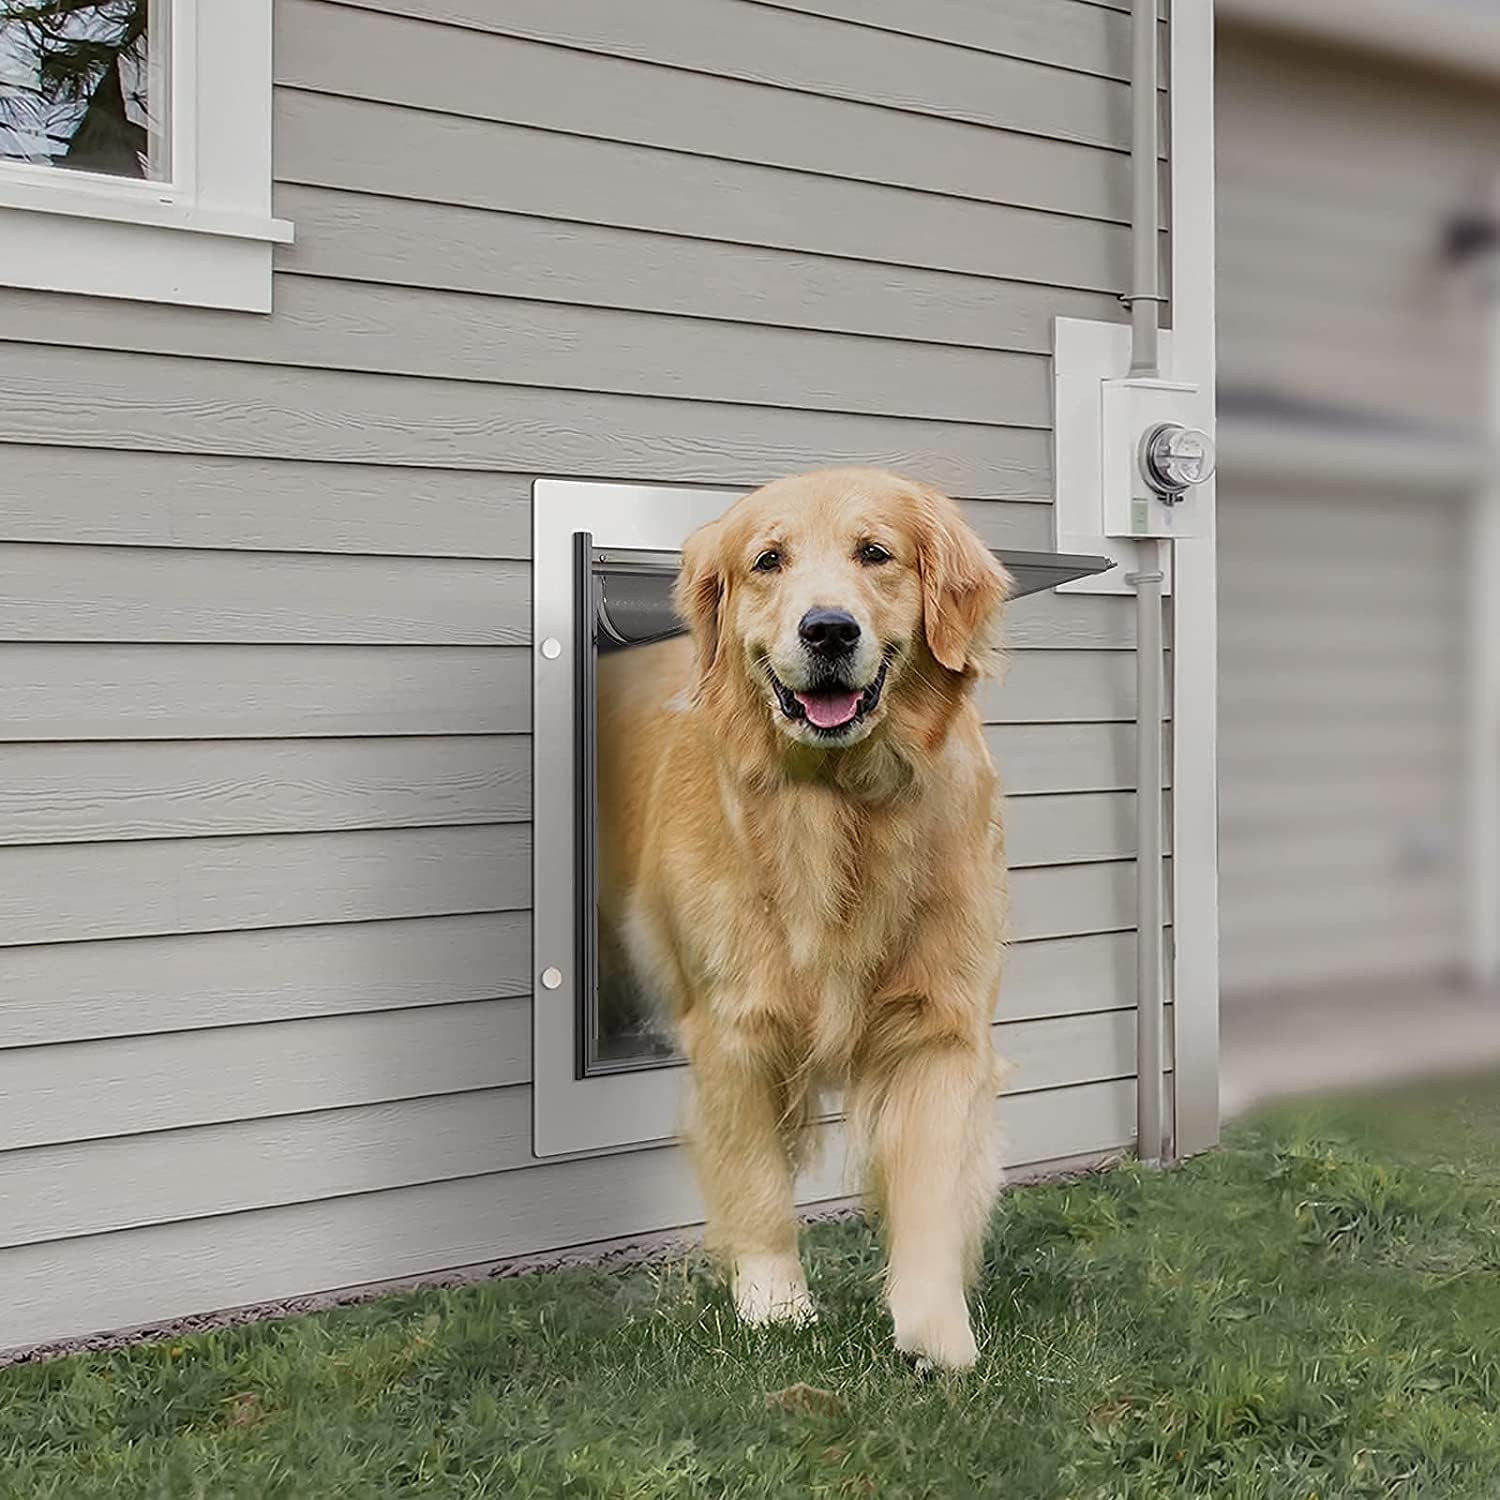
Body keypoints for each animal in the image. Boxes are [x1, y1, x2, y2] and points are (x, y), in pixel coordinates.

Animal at [594, 468, 1008, 1374]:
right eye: (768, 561)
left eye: (876, 553)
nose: (827, 629)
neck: (837, 804)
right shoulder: (732, 1027)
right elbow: (755, 1185)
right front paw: (776, 1307)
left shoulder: (937, 1026)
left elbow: (931, 1189)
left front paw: (938, 1334)